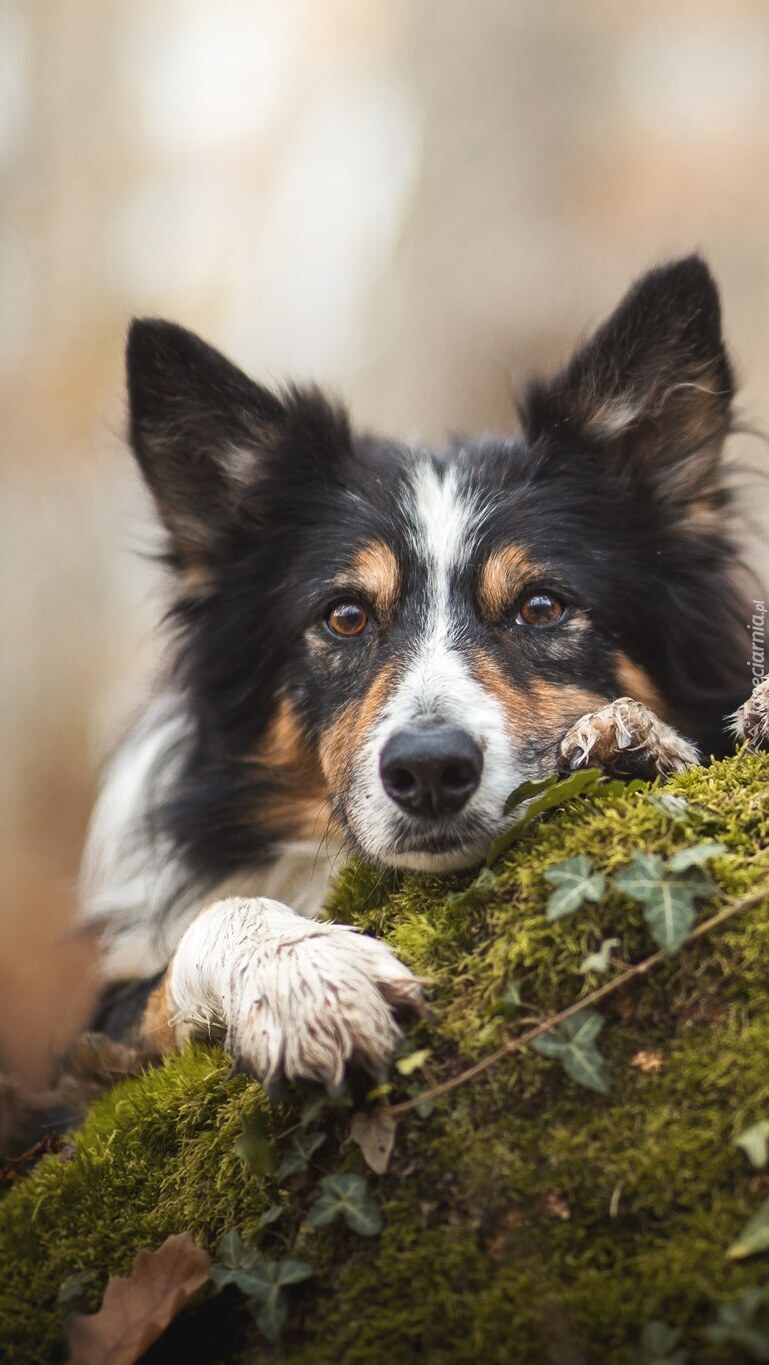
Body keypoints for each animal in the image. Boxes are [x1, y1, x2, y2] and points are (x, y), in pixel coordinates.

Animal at [79, 253, 769, 1086]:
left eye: (542, 606)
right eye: (345, 615)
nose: (430, 770)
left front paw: (622, 739)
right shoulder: (94, 1054)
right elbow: (198, 935)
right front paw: (302, 972)